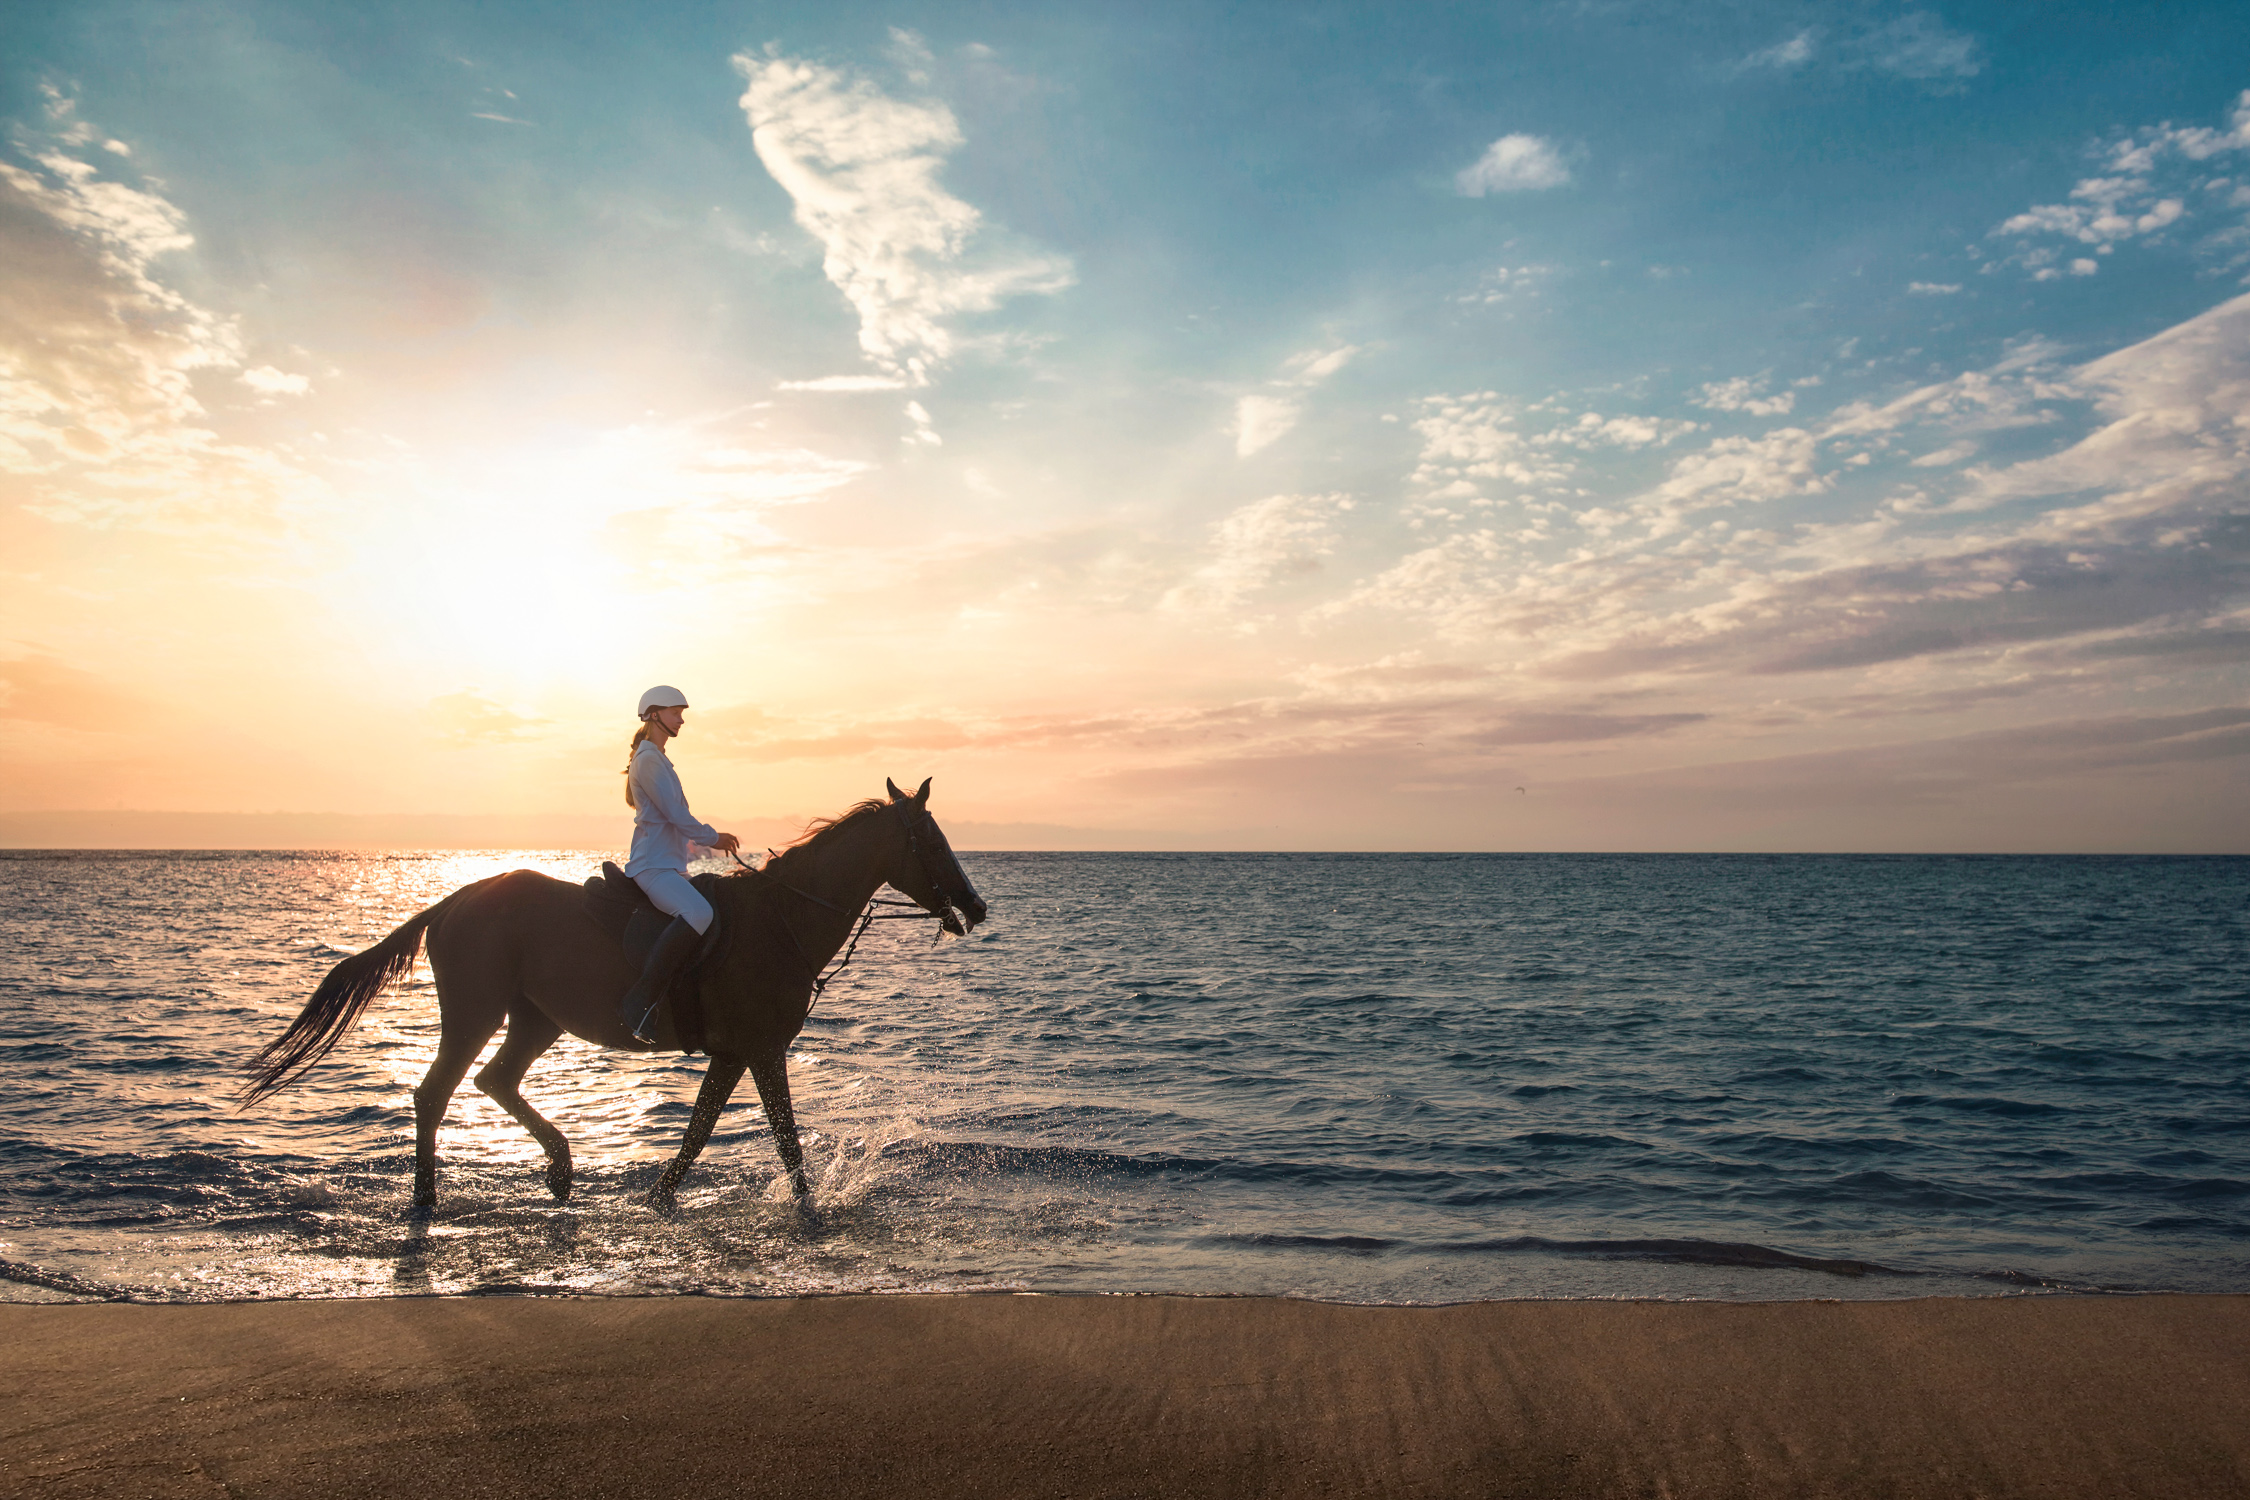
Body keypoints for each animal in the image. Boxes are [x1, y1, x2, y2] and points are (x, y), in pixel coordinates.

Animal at [241, 777, 986, 1211]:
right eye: (930, 839)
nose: (976, 907)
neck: (782, 919)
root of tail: (456, 900)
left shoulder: (734, 1054)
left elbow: (700, 1130)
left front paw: (659, 1195)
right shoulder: (761, 1049)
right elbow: (784, 1141)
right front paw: (806, 1207)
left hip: (536, 1018)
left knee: (494, 1082)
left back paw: (561, 1169)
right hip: (477, 1012)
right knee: (438, 1092)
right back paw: (427, 1196)